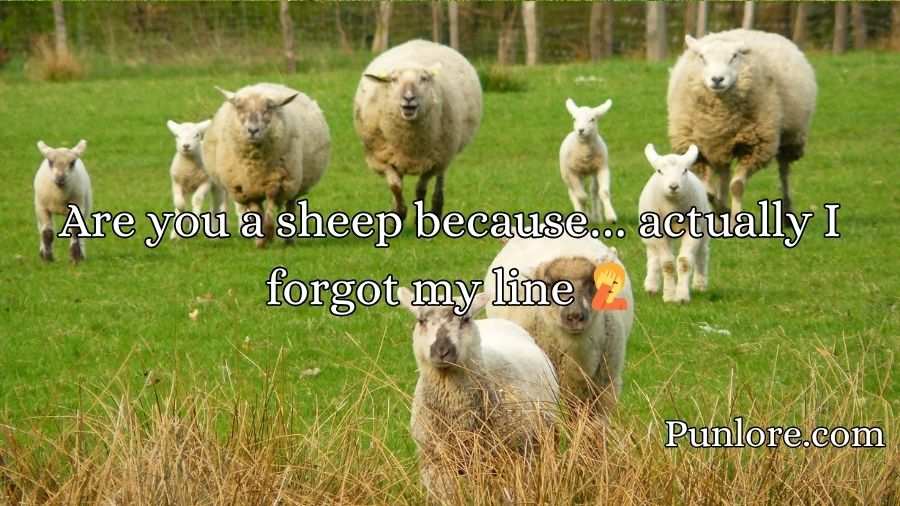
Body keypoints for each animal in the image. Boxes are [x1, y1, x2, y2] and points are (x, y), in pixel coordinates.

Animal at [202, 83, 330, 247]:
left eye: (269, 108)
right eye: (239, 107)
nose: (253, 130)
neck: (255, 165)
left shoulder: (277, 182)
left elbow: (270, 203)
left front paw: (268, 234)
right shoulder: (246, 187)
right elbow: (256, 210)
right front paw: (260, 240)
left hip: (294, 183)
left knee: (290, 206)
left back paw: (289, 241)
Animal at [353, 39, 482, 220]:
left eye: (424, 78)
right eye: (393, 80)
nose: (409, 98)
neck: (409, 142)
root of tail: (423, 41)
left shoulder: (433, 162)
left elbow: (420, 188)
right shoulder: (381, 159)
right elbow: (395, 187)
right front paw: (400, 211)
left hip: (445, 153)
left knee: (437, 183)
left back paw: (436, 208)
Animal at [640, 144, 711, 304]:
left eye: (684, 170)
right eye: (660, 171)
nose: (673, 186)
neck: (672, 208)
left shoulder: (693, 229)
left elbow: (684, 262)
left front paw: (682, 296)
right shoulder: (657, 232)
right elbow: (667, 263)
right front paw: (669, 296)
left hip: (703, 226)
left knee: (702, 253)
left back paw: (700, 284)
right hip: (648, 234)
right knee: (653, 256)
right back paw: (651, 286)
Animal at [667, 29, 817, 219]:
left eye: (734, 56)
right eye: (702, 57)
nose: (717, 79)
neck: (719, 119)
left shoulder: (755, 147)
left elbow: (736, 186)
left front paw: (733, 217)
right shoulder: (698, 150)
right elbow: (709, 193)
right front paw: (722, 213)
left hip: (791, 136)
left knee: (784, 171)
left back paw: (787, 213)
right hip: (720, 148)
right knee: (723, 178)